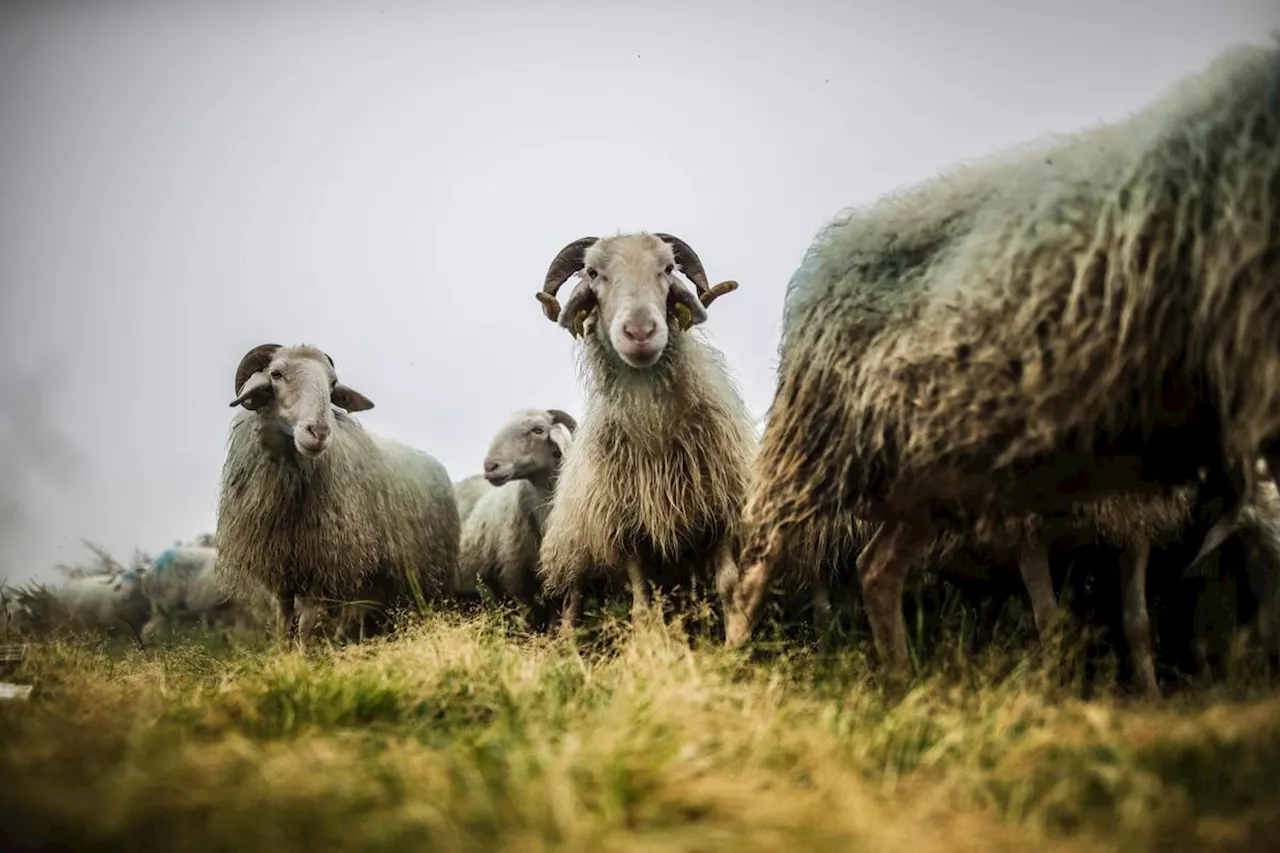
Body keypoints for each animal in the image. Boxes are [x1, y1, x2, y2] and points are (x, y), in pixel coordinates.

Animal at [213, 338, 460, 637]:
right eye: (276, 374)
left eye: (332, 384)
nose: (319, 432)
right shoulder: (280, 574)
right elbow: (283, 624)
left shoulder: (325, 567)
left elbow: (306, 627)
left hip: (427, 578)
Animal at [458, 402, 578, 627]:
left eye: (538, 430)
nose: (490, 466)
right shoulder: (515, 577)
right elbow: (527, 619)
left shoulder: (556, 576)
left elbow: (554, 618)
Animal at [532, 229, 757, 635]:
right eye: (592, 273)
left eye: (667, 269)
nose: (640, 331)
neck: (655, 429)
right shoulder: (627, 530)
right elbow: (642, 603)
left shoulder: (720, 513)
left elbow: (729, 585)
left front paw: (736, 642)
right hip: (577, 553)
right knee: (573, 605)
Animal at [727, 41, 1280, 691]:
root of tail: (833, 245)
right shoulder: (1032, 528)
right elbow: (1052, 622)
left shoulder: (1128, 525)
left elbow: (1134, 623)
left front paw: (1143, 693)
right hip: (821, 439)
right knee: (762, 558)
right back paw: (730, 661)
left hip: (922, 476)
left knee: (877, 569)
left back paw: (903, 685)